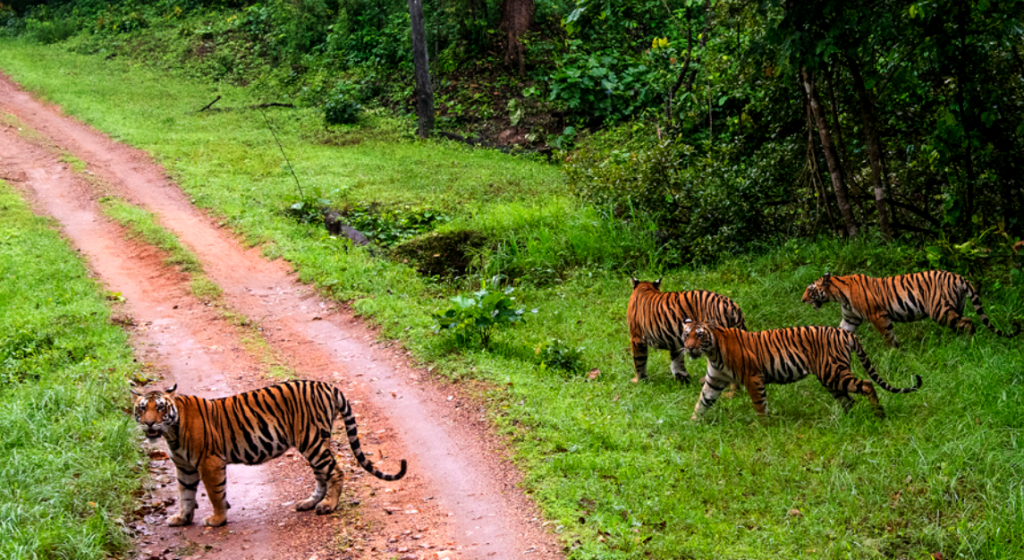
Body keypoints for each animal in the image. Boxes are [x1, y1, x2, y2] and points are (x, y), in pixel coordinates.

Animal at [132, 378, 407, 528]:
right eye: (143, 408)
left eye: (160, 408)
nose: (149, 424)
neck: (172, 433)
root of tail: (327, 385)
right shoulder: (184, 467)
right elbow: (185, 495)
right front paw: (181, 518)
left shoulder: (210, 463)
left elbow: (215, 494)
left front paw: (217, 520)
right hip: (315, 442)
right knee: (322, 474)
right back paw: (310, 503)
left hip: (311, 440)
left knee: (335, 471)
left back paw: (328, 505)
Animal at [679, 319, 921, 421]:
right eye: (686, 334)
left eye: (699, 335)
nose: (689, 348)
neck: (712, 352)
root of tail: (845, 333)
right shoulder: (714, 380)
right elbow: (702, 402)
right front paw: (692, 423)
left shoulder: (752, 377)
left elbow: (759, 404)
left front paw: (762, 426)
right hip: (830, 378)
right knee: (849, 400)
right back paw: (847, 420)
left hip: (833, 372)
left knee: (867, 385)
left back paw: (879, 415)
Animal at [802, 270, 1019, 346]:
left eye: (810, 290)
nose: (802, 300)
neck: (839, 294)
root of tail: (958, 276)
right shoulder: (850, 318)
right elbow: (841, 331)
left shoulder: (878, 315)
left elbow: (888, 335)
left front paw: (894, 352)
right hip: (955, 307)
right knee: (961, 322)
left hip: (940, 311)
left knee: (968, 322)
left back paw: (969, 343)